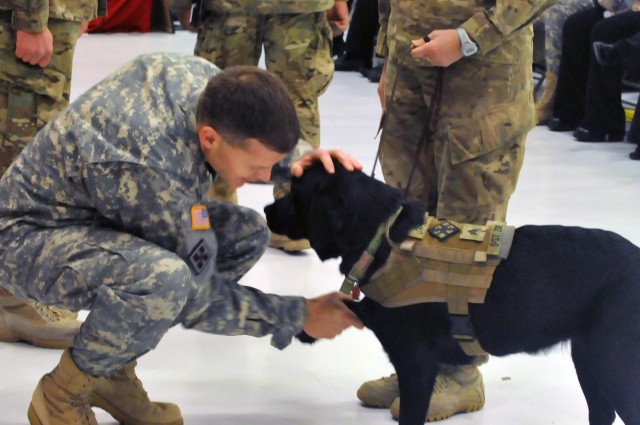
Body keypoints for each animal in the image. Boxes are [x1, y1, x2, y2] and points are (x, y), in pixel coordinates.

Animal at [264, 160, 640, 424]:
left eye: (295, 192)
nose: (266, 211)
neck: (385, 237)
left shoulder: (415, 364)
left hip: (614, 362)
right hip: (588, 356)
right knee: (601, 413)